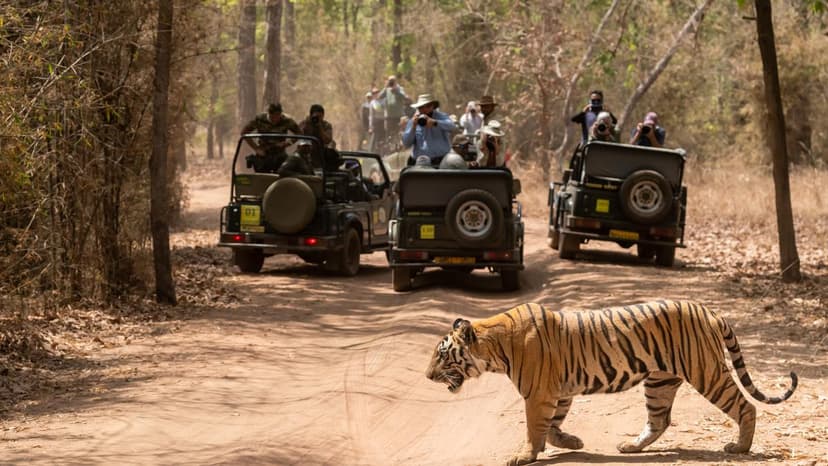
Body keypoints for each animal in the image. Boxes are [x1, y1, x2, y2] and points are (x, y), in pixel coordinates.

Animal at [425, 300, 797, 466]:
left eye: (442, 356)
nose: (427, 376)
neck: (494, 346)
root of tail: (708, 310)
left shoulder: (539, 392)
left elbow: (534, 427)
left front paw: (525, 455)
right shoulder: (558, 391)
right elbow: (553, 425)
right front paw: (571, 442)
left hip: (707, 372)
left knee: (745, 406)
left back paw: (740, 448)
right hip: (660, 382)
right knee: (659, 420)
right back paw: (631, 447)